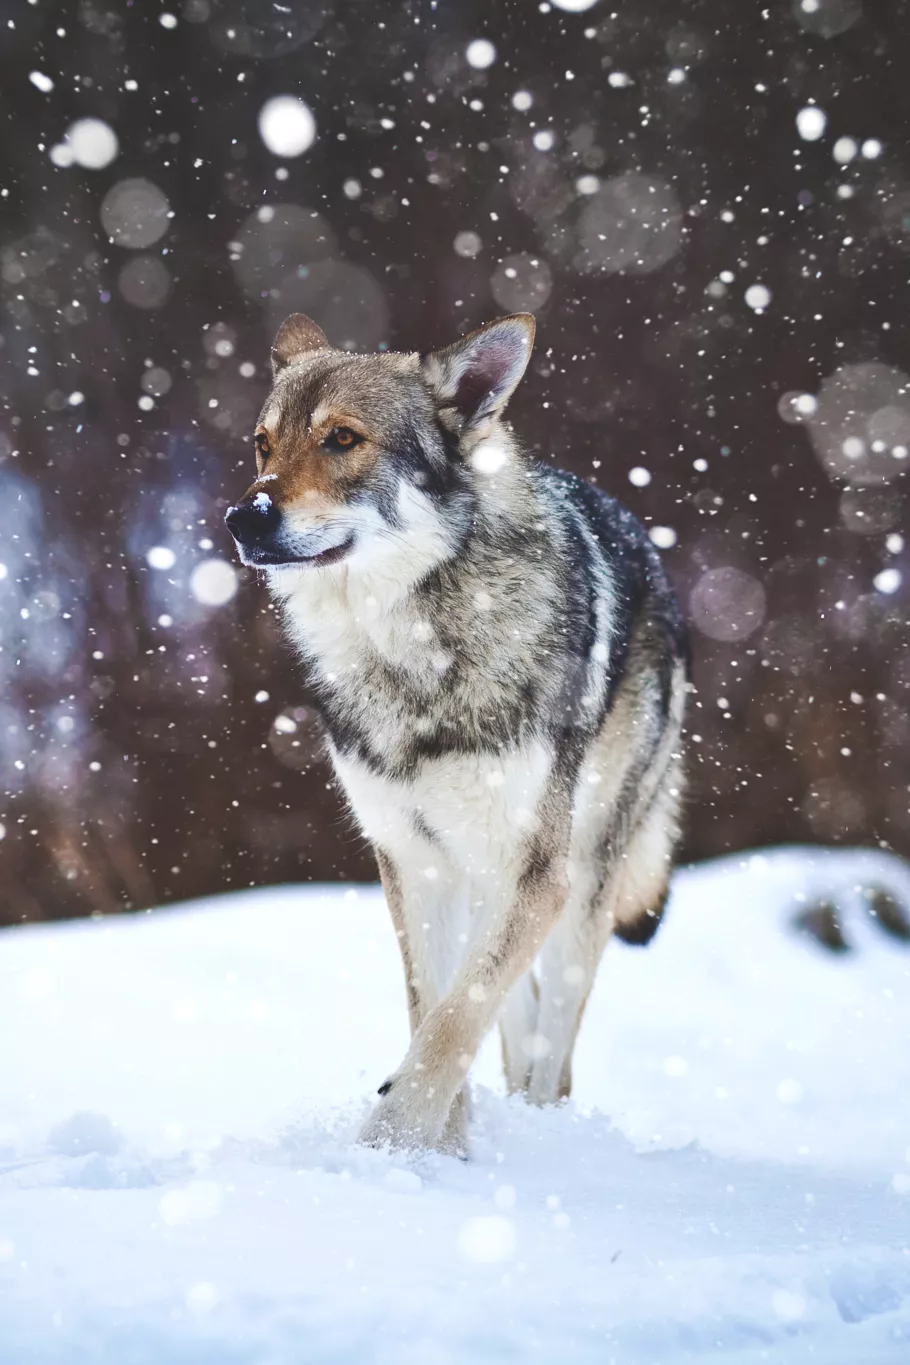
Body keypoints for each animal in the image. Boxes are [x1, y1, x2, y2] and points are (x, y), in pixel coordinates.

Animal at [223, 312, 687, 1152]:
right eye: (262, 445)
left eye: (343, 439)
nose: (243, 518)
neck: (411, 652)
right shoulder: (414, 860)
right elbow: (433, 1007)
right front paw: (438, 1154)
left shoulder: (537, 875)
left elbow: (450, 1022)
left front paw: (390, 1147)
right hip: (483, 872)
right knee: (514, 1012)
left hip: (582, 880)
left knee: (552, 1054)